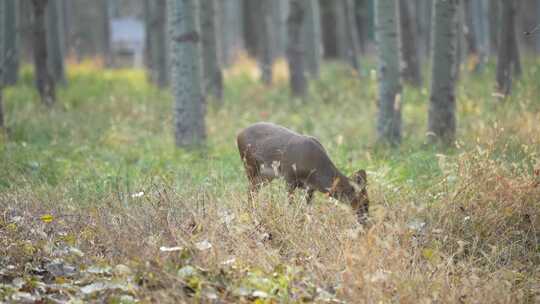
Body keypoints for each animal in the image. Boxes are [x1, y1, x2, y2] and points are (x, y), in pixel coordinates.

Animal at [237, 121, 372, 223]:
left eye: (367, 201)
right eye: (364, 201)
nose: (366, 222)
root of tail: (238, 134)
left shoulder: (310, 188)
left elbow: (309, 211)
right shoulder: (289, 178)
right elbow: (290, 206)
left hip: (265, 176)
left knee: (253, 190)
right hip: (250, 165)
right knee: (250, 190)